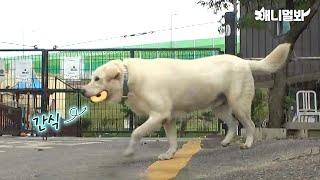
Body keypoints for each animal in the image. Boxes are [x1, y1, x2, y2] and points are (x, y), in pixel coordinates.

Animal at [82, 43, 292, 160]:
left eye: (97, 79)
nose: (82, 90)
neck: (130, 78)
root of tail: (243, 61)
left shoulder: (158, 115)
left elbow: (136, 132)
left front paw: (129, 152)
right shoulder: (167, 119)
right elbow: (172, 140)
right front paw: (170, 154)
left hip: (239, 105)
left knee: (250, 125)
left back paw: (247, 144)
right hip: (219, 108)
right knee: (232, 125)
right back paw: (225, 142)